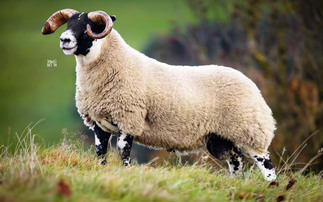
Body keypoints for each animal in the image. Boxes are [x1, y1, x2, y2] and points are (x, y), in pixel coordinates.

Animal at [41, 8, 278, 181]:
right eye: (68, 25)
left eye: (87, 28)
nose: (64, 40)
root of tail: (251, 84)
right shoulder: (100, 123)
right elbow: (101, 152)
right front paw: (102, 172)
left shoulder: (129, 119)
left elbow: (123, 152)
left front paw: (127, 174)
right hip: (221, 138)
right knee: (236, 160)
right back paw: (237, 183)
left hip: (250, 129)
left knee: (265, 161)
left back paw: (271, 185)